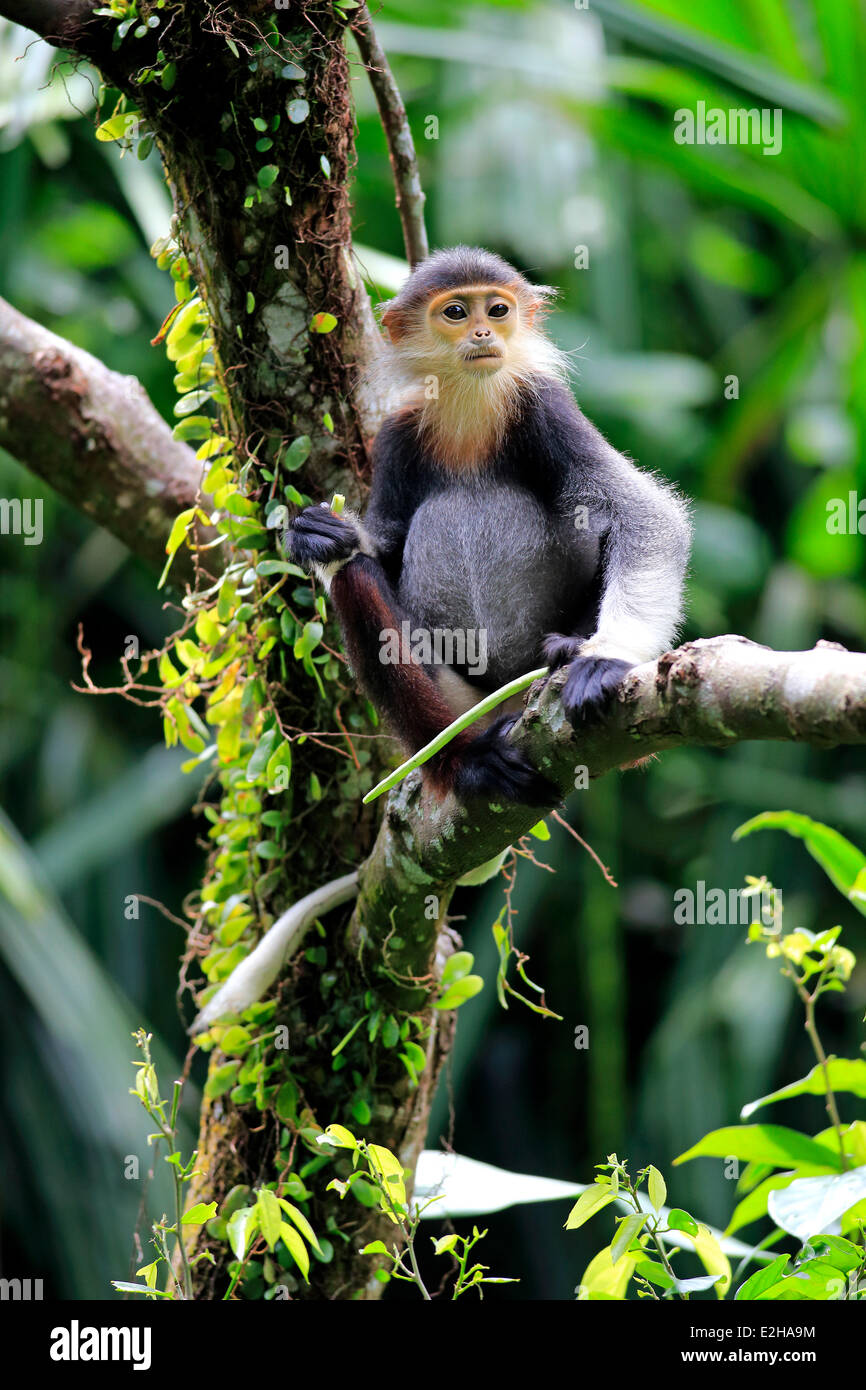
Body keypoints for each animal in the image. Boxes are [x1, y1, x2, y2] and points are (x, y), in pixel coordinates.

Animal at [289, 244, 692, 800]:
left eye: (497, 310)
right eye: (456, 312)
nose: (484, 333)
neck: (471, 407)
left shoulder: (546, 407)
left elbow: (648, 517)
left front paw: (605, 657)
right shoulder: (396, 434)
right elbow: (380, 548)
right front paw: (323, 536)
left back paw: (567, 650)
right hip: (457, 700)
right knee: (357, 577)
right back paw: (465, 762)